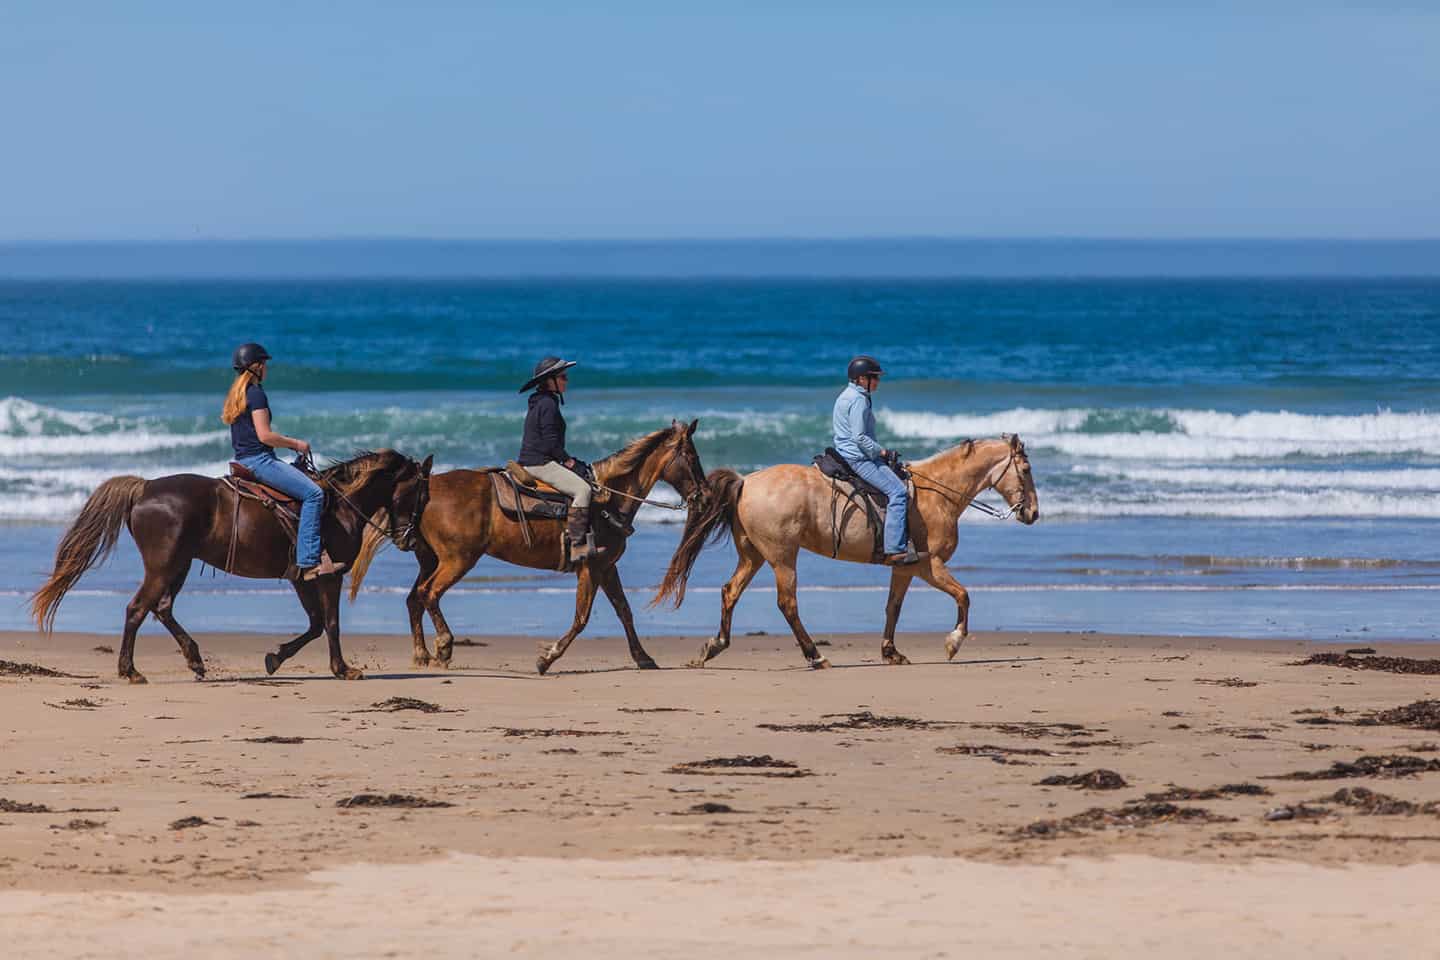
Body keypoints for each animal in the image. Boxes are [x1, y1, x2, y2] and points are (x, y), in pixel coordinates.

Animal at [30, 451, 429, 682]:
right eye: (421, 494)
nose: (410, 541)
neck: (341, 505)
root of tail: (145, 487)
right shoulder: (330, 575)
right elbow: (330, 624)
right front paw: (343, 669)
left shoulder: (302, 579)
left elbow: (315, 624)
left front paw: (275, 658)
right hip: (163, 566)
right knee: (137, 609)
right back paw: (130, 671)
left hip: (180, 564)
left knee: (161, 608)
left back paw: (195, 660)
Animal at [348, 420, 708, 676]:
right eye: (692, 457)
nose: (704, 496)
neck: (608, 499)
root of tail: (426, 486)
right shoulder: (590, 568)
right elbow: (581, 618)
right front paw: (547, 659)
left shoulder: (607, 568)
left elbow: (624, 611)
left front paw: (643, 657)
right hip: (457, 560)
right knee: (429, 593)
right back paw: (445, 646)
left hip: (430, 559)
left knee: (414, 599)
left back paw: (422, 653)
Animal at [653, 434, 1036, 667]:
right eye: (1026, 469)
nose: (1032, 513)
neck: (937, 494)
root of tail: (746, 481)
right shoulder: (930, 565)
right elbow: (963, 595)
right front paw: (953, 642)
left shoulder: (905, 567)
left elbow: (893, 608)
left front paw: (891, 652)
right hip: (782, 557)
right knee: (787, 603)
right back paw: (814, 656)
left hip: (754, 555)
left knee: (730, 592)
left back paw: (714, 646)